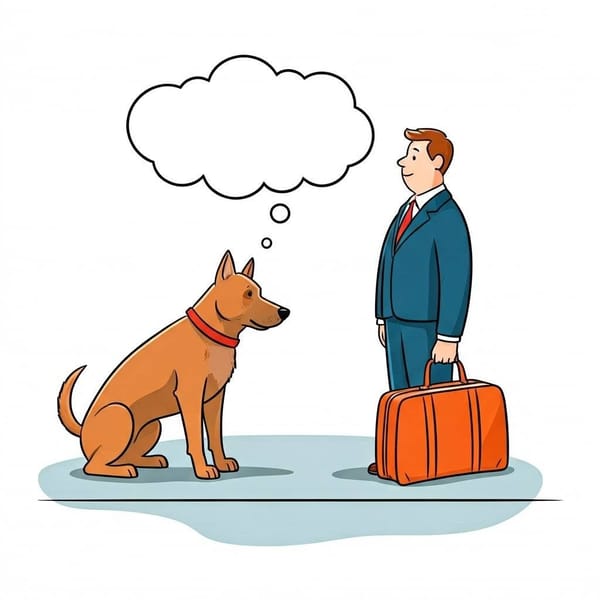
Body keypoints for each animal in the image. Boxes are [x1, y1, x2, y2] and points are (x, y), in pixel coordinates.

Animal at [58, 251, 290, 480]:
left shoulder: (215, 399)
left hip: (153, 427)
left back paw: (149, 461)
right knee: (92, 465)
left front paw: (222, 463)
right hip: (121, 414)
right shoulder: (190, 397)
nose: (284, 311)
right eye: (248, 294)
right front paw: (203, 469)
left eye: (259, 292)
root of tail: (82, 429)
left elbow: (216, 437)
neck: (211, 335)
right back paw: (123, 471)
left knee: (123, 456)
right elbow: (196, 438)